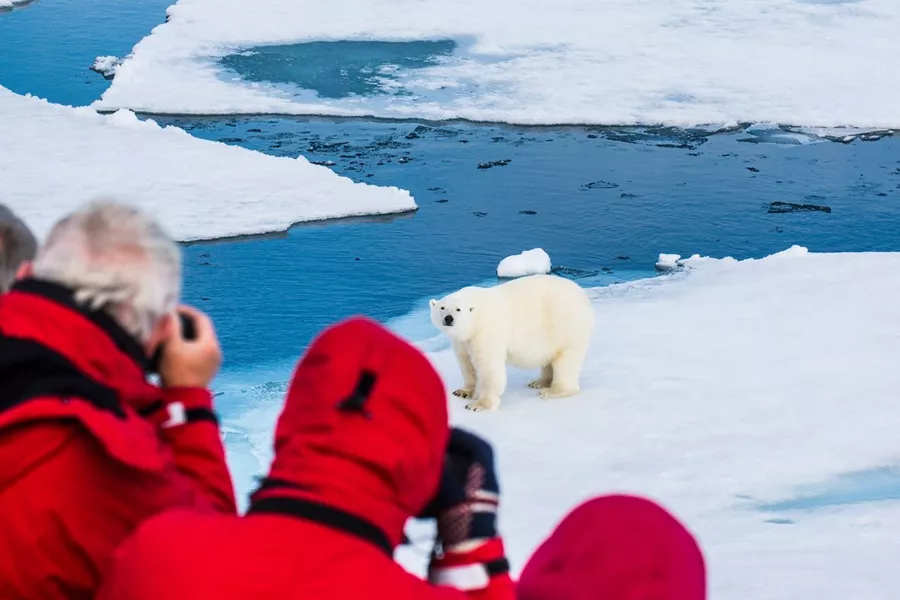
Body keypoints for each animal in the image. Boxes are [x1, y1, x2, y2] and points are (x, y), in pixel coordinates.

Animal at [430, 273, 595, 412]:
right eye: (442, 307)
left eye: (458, 309)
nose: (449, 318)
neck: (476, 318)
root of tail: (583, 295)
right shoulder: (462, 341)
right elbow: (466, 363)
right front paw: (463, 391)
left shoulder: (486, 332)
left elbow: (489, 368)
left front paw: (479, 405)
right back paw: (539, 382)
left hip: (565, 325)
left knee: (566, 360)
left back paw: (553, 390)